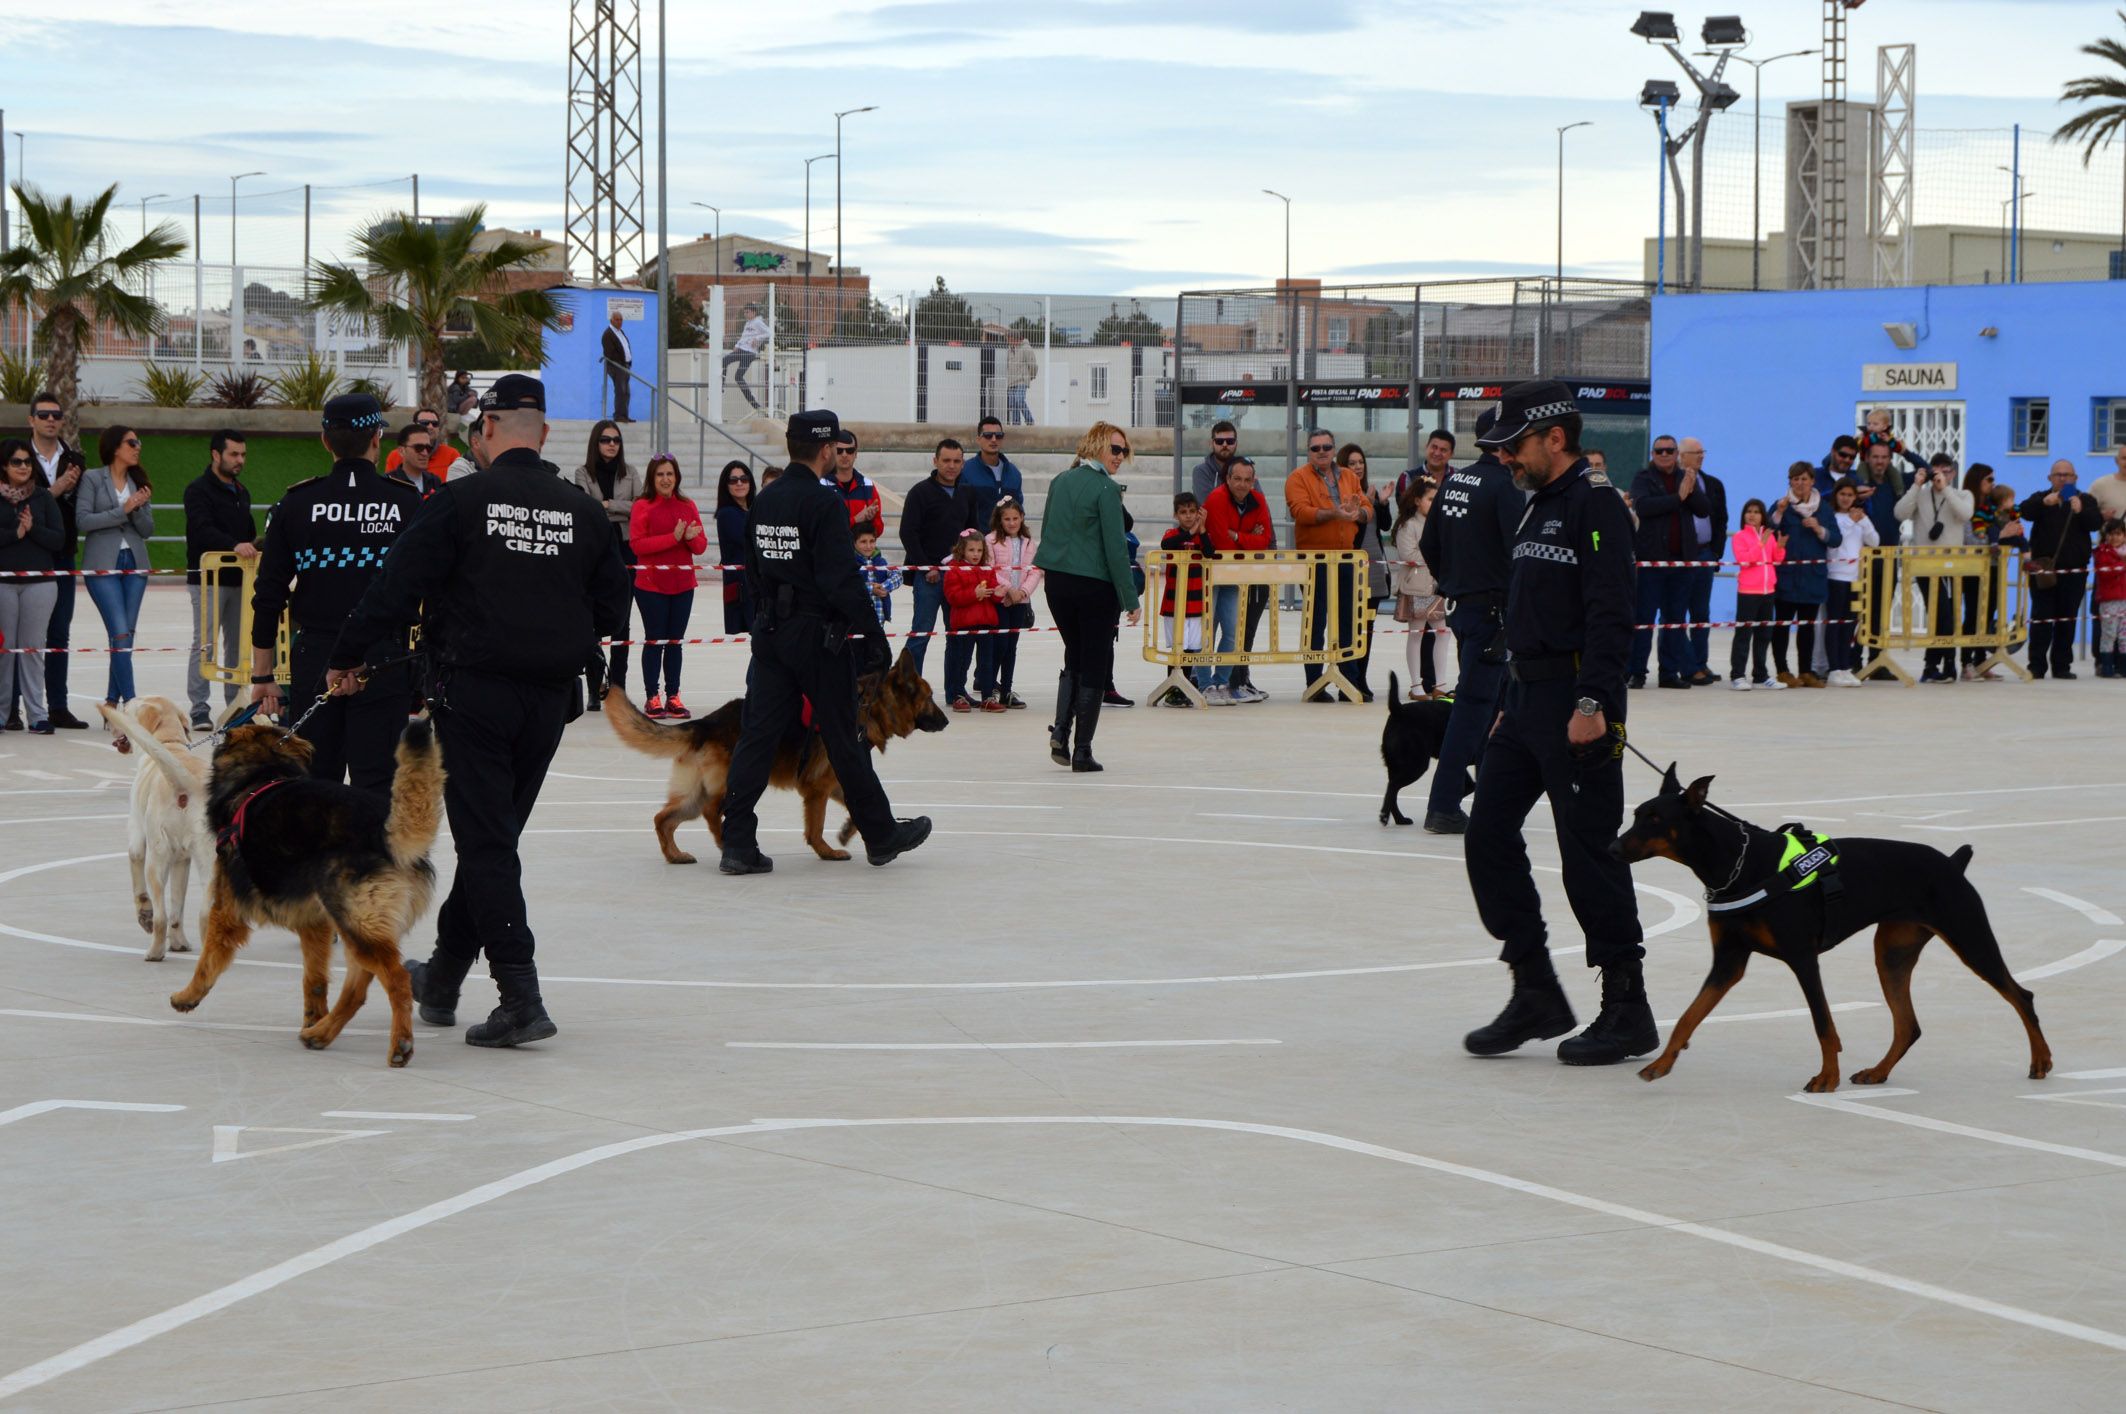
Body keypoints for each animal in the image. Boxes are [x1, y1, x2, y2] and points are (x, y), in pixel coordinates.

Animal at [100, 693, 212, 961]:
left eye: (126, 709)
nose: (111, 719)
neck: (170, 743)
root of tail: (186, 782)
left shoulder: (137, 839)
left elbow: (137, 878)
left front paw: (144, 915)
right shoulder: (182, 860)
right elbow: (178, 908)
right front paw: (180, 943)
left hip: (157, 859)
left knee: (161, 917)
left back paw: (154, 951)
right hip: (210, 863)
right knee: (204, 915)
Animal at [167, 710, 446, 1063]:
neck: (260, 777)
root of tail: (384, 831)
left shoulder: (226, 911)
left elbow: (206, 962)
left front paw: (187, 996)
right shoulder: (314, 924)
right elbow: (314, 979)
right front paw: (313, 1016)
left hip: (356, 920)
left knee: (397, 979)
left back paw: (400, 1044)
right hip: (355, 924)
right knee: (358, 985)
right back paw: (320, 1033)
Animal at [612, 646, 952, 859]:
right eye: (930, 698)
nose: (947, 721)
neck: (869, 707)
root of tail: (706, 723)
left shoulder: (836, 782)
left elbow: (861, 803)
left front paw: (848, 832)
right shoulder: (818, 788)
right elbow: (817, 826)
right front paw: (828, 851)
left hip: (693, 794)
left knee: (663, 819)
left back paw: (675, 855)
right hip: (725, 786)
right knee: (712, 811)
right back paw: (726, 843)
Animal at [1377, 671, 1462, 829]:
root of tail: (1399, 710)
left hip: (1396, 765)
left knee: (1392, 791)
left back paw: (1400, 819)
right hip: (1415, 764)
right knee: (1392, 787)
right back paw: (1385, 816)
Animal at [1615, 765, 2049, 1097]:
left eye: (1655, 820)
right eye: (1636, 815)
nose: (1611, 849)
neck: (1737, 865)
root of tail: (1953, 863)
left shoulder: (1802, 957)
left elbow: (1823, 1023)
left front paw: (1827, 1077)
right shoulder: (1729, 960)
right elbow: (1689, 1016)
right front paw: (1662, 1063)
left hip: (1969, 936)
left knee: (2021, 996)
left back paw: (2041, 1059)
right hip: (1892, 952)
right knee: (1908, 1025)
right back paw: (1877, 1071)